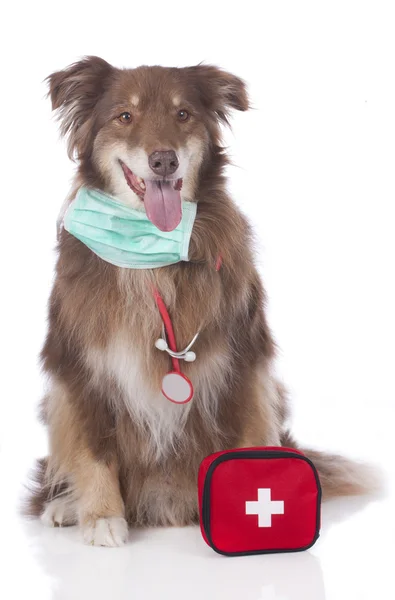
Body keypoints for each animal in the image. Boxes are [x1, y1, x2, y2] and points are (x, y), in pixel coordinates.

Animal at [27, 57, 374, 548]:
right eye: (125, 116)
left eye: (183, 114)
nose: (164, 160)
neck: (152, 257)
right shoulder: (79, 368)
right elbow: (94, 450)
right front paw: (101, 517)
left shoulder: (244, 363)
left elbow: (247, 440)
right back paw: (64, 505)